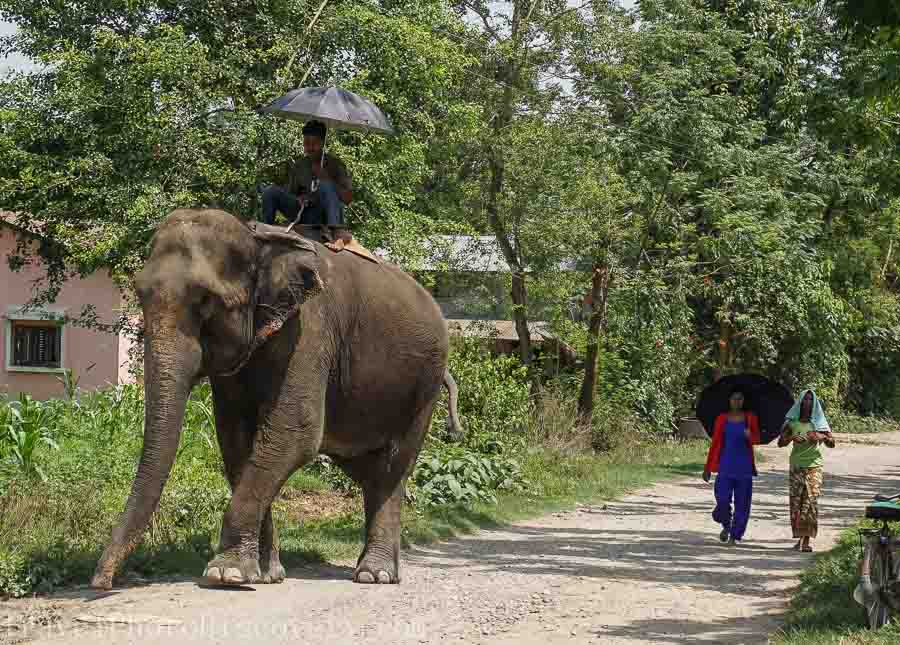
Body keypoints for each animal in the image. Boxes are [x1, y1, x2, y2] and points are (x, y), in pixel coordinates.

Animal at [89, 208, 464, 588]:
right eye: (138, 293)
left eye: (207, 301)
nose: (101, 581)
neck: (258, 239)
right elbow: (236, 442)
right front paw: (265, 574)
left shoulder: (310, 330)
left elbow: (293, 433)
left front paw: (225, 574)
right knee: (369, 470)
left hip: (425, 386)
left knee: (394, 466)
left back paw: (376, 575)